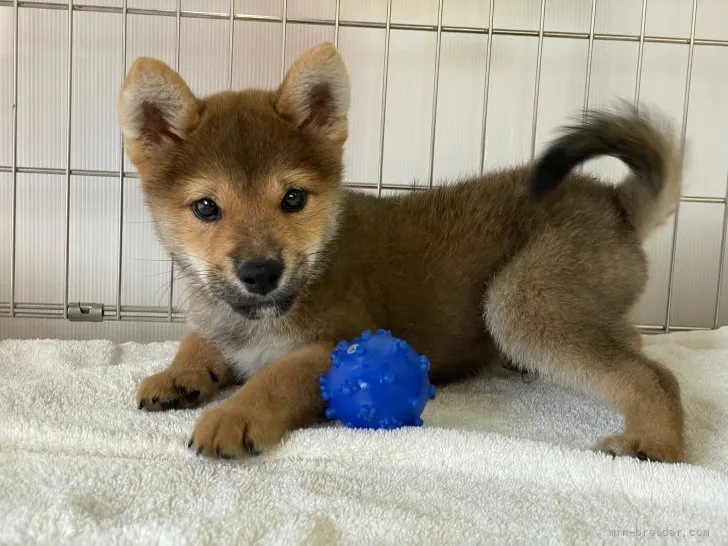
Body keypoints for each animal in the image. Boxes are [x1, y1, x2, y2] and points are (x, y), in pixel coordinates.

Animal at [118, 41, 684, 460]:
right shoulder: (218, 321)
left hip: (523, 301)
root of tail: (614, 200)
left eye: (293, 199)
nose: (261, 273)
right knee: (630, 343)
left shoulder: (333, 344)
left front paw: (234, 414)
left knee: (652, 373)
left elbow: (275, 378)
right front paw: (177, 376)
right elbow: (197, 342)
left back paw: (654, 441)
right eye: (206, 207)